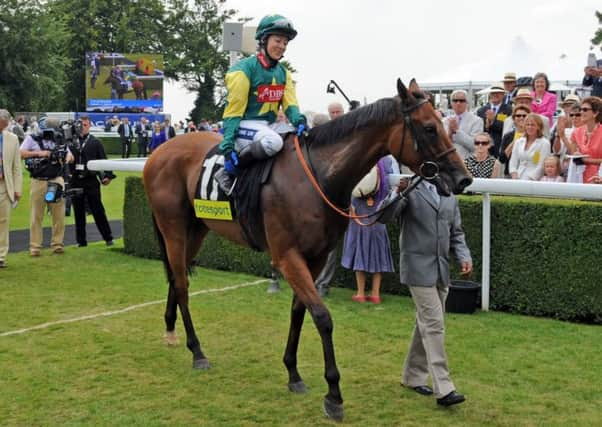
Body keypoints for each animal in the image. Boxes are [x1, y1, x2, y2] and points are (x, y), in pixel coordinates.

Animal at [143, 79, 472, 422]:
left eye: (443, 124)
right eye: (429, 128)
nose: (463, 178)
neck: (317, 177)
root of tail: (158, 152)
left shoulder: (314, 257)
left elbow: (299, 310)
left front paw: (293, 373)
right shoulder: (287, 256)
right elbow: (322, 317)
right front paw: (334, 395)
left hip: (197, 229)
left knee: (177, 277)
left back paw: (170, 330)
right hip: (173, 227)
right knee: (181, 283)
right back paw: (197, 351)